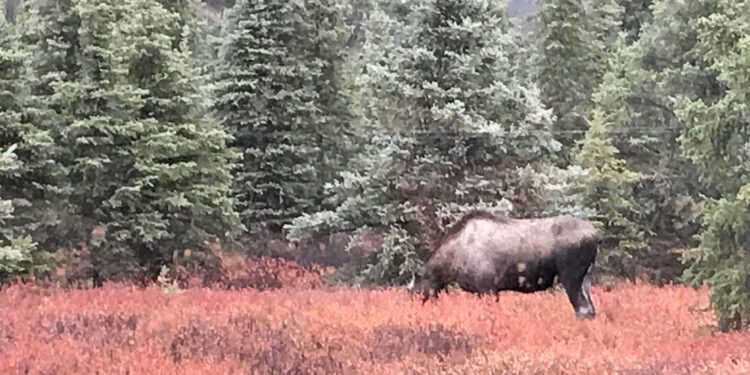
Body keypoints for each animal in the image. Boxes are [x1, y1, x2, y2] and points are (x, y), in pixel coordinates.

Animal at [406, 212, 604, 320]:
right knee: (591, 309)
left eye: (412, 290)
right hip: (586, 278)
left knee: (583, 309)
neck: (452, 265)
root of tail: (596, 236)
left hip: (571, 276)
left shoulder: (488, 288)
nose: (412, 313)